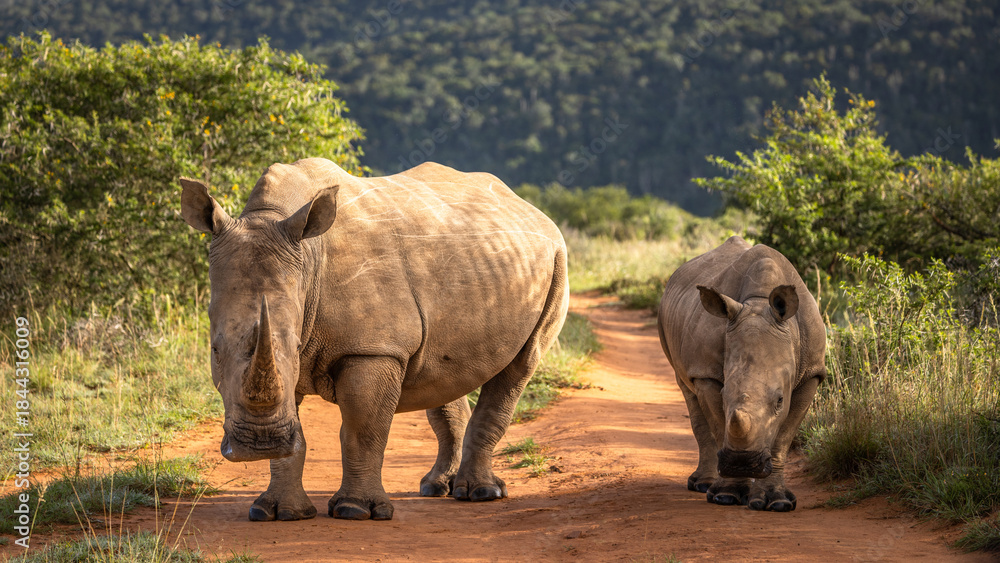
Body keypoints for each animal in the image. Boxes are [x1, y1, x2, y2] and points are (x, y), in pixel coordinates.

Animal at [180, 158, 568, 521]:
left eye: (296, 346)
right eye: (215, 350)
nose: (260, 445)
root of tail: (534, 210)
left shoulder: (374, 349)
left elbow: (362, 429)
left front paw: (355, 510)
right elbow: (296, 432)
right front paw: (276, 512)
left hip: (557, 260)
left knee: (520, 366)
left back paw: (481, 494)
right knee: (445, 372)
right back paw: (437, 487)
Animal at [657, 236, 825, 512]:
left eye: (780, 400)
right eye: (724, 396)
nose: (742, 464)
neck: (759, 302)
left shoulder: (812, 373)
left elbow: (783, 438)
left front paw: (778, 503)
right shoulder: (706, 373)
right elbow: (717, 424)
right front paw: (726, 497)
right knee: (687, 391)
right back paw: (702, 485)